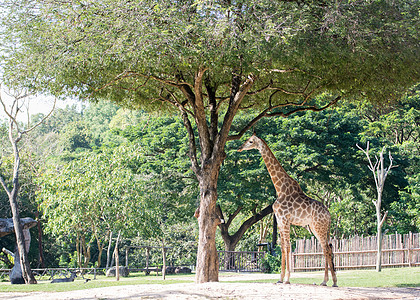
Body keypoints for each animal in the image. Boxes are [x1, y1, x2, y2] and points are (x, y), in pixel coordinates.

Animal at [238, 133, 336, 286]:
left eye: (250, 141)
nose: (240, 148)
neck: (280, 188)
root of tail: (329, 214)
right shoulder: (279, 219)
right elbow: (283, 246)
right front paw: (280, 278)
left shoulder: (284, 219)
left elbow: (288, 246)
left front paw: (287, 278)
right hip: (315, 227)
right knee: (327, 248)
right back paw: (330, 281)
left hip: (319, 226)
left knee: (326, 248)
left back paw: (328, 281)